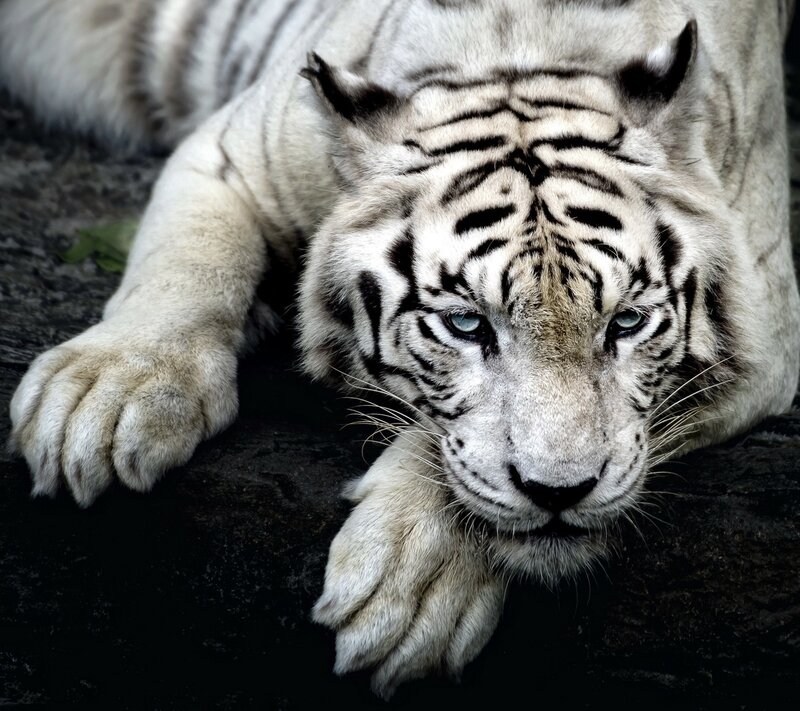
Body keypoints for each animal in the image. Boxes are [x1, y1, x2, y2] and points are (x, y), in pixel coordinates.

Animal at [2, 0, 798, 698]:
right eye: (468, 325)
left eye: (626, 323)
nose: (560, 493)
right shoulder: (230, 152)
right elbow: (185, 264)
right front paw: (102, 401)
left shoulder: (766, 335)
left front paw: (410, 585)